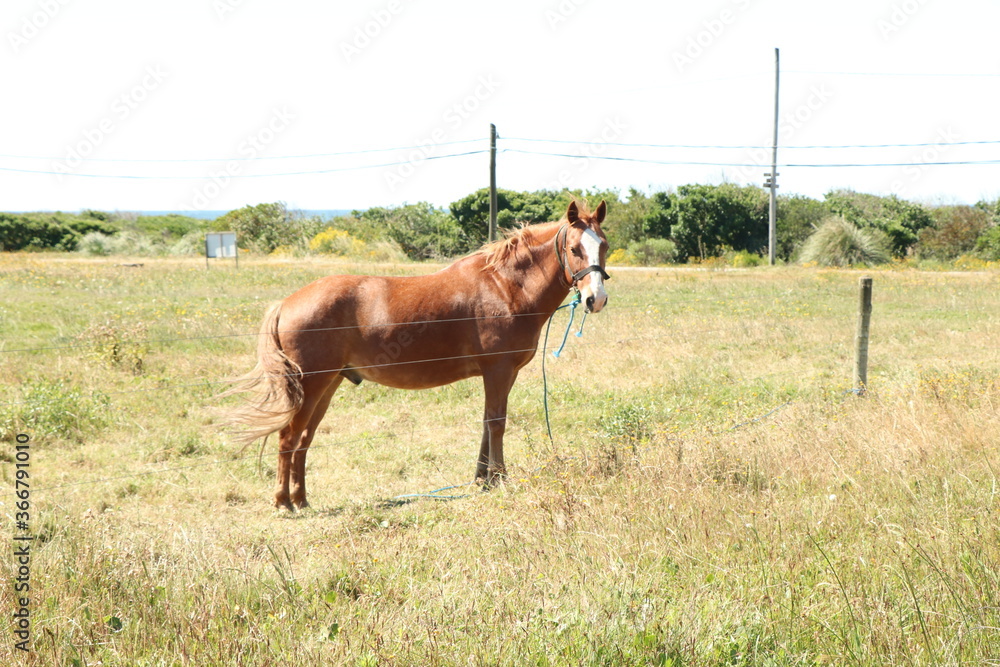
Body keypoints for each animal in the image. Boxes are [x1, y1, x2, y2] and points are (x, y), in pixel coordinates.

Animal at [224, 199, 610, 511]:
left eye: (604, 246)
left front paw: (482, 479)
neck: (504, 287)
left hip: (328, 385)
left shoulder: (502, 373)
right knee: (288, 438)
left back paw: (301, 499)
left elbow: (487, 422)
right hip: (312, 385)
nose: (596, 299)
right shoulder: (498, 370)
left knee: (304, 441)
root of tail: (287, 302)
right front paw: (499, 478)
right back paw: (283, 502)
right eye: (574, 248)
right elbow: (497, 423)